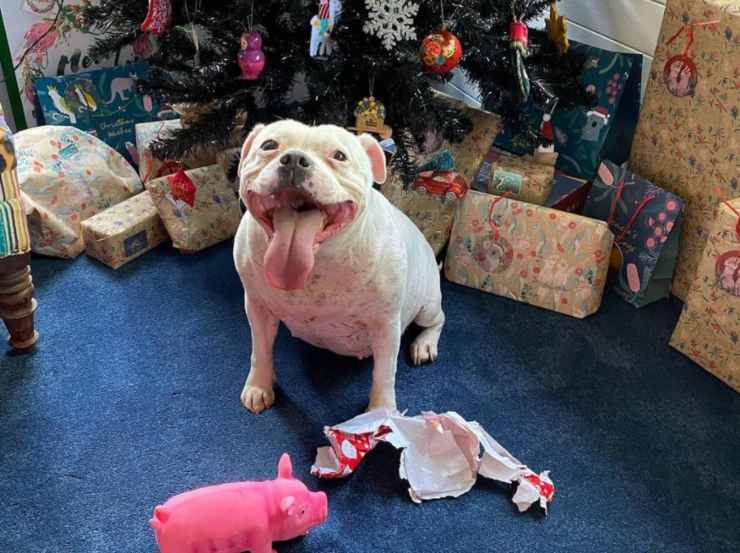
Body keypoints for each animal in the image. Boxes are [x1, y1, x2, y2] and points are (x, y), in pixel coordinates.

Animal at [236, 122, 446, 414]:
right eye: (269, 145)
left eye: (339, 156)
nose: (295, 159)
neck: (318, 262)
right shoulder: (257, 307)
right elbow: (261, 349)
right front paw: (259, 385)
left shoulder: (386, 325)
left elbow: (385, 373)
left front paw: (381, 410)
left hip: (427, 306)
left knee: (438, 320)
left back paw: (424, 344)